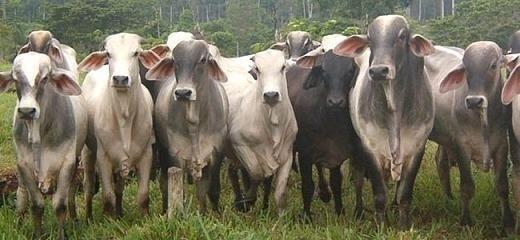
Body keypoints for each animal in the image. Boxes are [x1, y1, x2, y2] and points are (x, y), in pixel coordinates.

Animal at [0, 53, 86, 240]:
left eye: (45, 78)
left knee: (71, 194)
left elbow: (60, 205)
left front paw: (62, 234)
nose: (26, 111)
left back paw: (75, 218)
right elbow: (37, 205)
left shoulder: (67, 162)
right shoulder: (24, 165)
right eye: (15, 79)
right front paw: (37, 234)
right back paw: (19, 222)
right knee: (21, 193)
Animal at [146, 39, 228, 214]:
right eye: (174, 60)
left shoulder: (216, 154)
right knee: (164, 185)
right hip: (163, 152)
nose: (183, 93)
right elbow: (177, 191)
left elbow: (210, 190)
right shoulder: (175, 155)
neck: (194, 122)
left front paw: (209, 214)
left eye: (203, 60)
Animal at [334, 15, 434, 229]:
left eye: (402, 36)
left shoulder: (417, 147)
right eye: (370, 39)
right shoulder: (370, 148)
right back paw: (359, 211)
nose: (379, 71)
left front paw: (403, 226)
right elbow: (379, 195)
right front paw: (382, 226)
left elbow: (404, 194)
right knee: (358, 180)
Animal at [424, 43, 512, 231]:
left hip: (445, 139)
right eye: (466, 69)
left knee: (441, 162)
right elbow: (467, 187)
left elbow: (502, 186)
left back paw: (448, 198)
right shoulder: (461, 147)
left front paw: (508, 223)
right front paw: (466, 221)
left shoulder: (502, 145)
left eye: (493, 65)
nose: (474, 101)